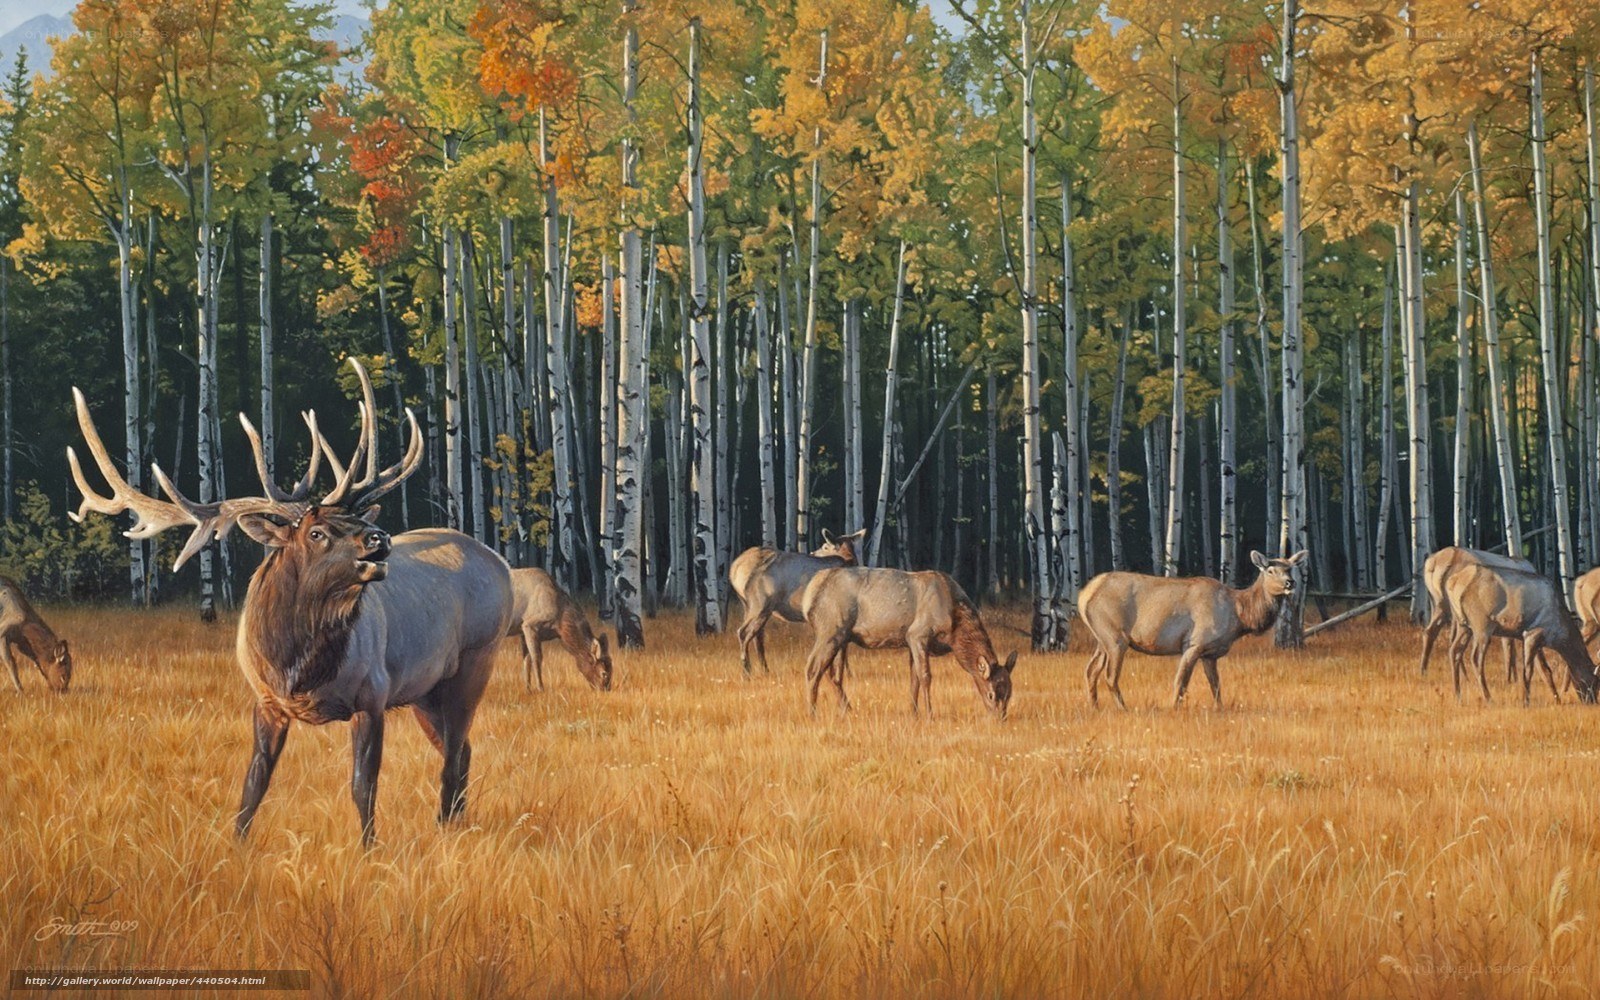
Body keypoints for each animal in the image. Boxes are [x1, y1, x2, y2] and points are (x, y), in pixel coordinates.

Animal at [68, 359, 514, 847]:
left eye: (355, 518)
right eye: (316, 532)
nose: (380, 539)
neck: (297, 667)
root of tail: (501, 564)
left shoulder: (373, 694)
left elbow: (363, 785)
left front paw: (368, 848)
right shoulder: (266, 700)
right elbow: (254, 782)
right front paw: (237, 844)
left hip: (476, 661)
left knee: (453, 754)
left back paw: (446, 826)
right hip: (424, 691)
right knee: (461, 749)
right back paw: (455, 821)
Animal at [729, 528, 865, 674]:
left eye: (825, 546)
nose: (812, 552)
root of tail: (734, 569)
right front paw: (846, 673)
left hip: (748, 604)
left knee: (758, 636)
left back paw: (764, 669)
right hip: (760, 602)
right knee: (743, 632)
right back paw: (747, 670)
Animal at [798, 566, 1016, 719]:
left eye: (1009, 693)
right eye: (991, 694)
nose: (1001, 718)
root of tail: (808, 596)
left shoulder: (911, 642)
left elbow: (914, 680)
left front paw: (914, 713)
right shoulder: (918, 634)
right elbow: (926, 677)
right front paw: (929, 715)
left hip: (843, 637)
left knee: (834, 675)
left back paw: (847, 710)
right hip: (830, 629)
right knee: (812, 668)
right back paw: (812, 713)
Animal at [1078, 550, 1307, 710]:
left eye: (1290, 568)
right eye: (1270, 570)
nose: (1290, 582)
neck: (1239, 616)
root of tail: (1084, 595)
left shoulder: (1210, 654)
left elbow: (1216, 685)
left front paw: (1219, 709)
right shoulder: (1194, 643)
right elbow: (1181, 682)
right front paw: (1173, 709)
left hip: (1102, 639)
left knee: (1090, 670)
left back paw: (1094, 706)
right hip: (1115, 637)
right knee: (1109, 675)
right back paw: (1122, 708)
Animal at [1444, 563, 1599, 705]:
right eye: (1594, 682)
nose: (1592, 701)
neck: (1559, 634)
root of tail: (1453, 582)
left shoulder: (1537, 640)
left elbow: (1545, 670)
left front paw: (1557, 699)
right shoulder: (1533, 633)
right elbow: (1528, 671)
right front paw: (1526, 701)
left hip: (1463, 625)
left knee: (1454, 651)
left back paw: (1457, 696)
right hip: (1482, 625)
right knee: (1475, 658)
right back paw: (1488, 698)